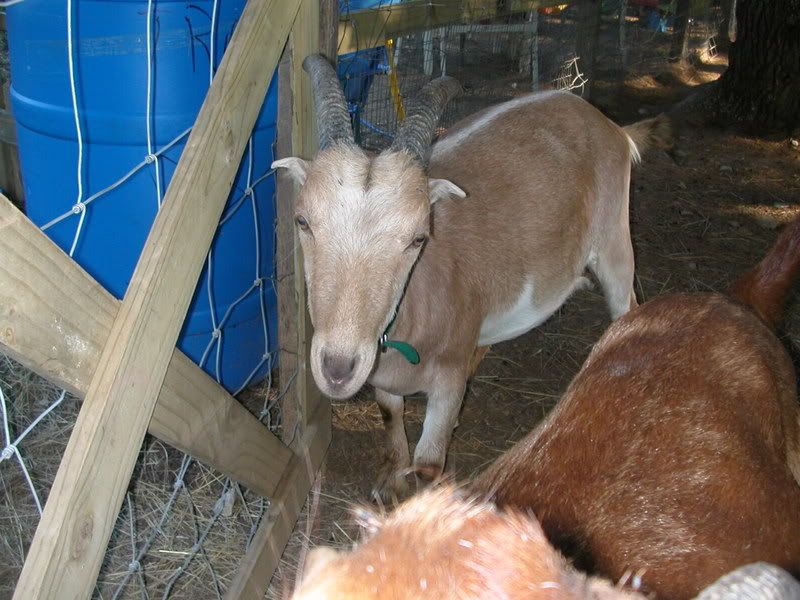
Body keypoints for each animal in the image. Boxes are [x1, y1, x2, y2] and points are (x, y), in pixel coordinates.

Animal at [273, 54, 670, 500]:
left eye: (418, 237)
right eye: (302, 220)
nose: (338, 369)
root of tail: (612, 128)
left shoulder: (446, 376)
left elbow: (429, 463)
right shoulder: (383, 373)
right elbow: (391, 415)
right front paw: (390, 482)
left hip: (615, 237)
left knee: (626, 305)